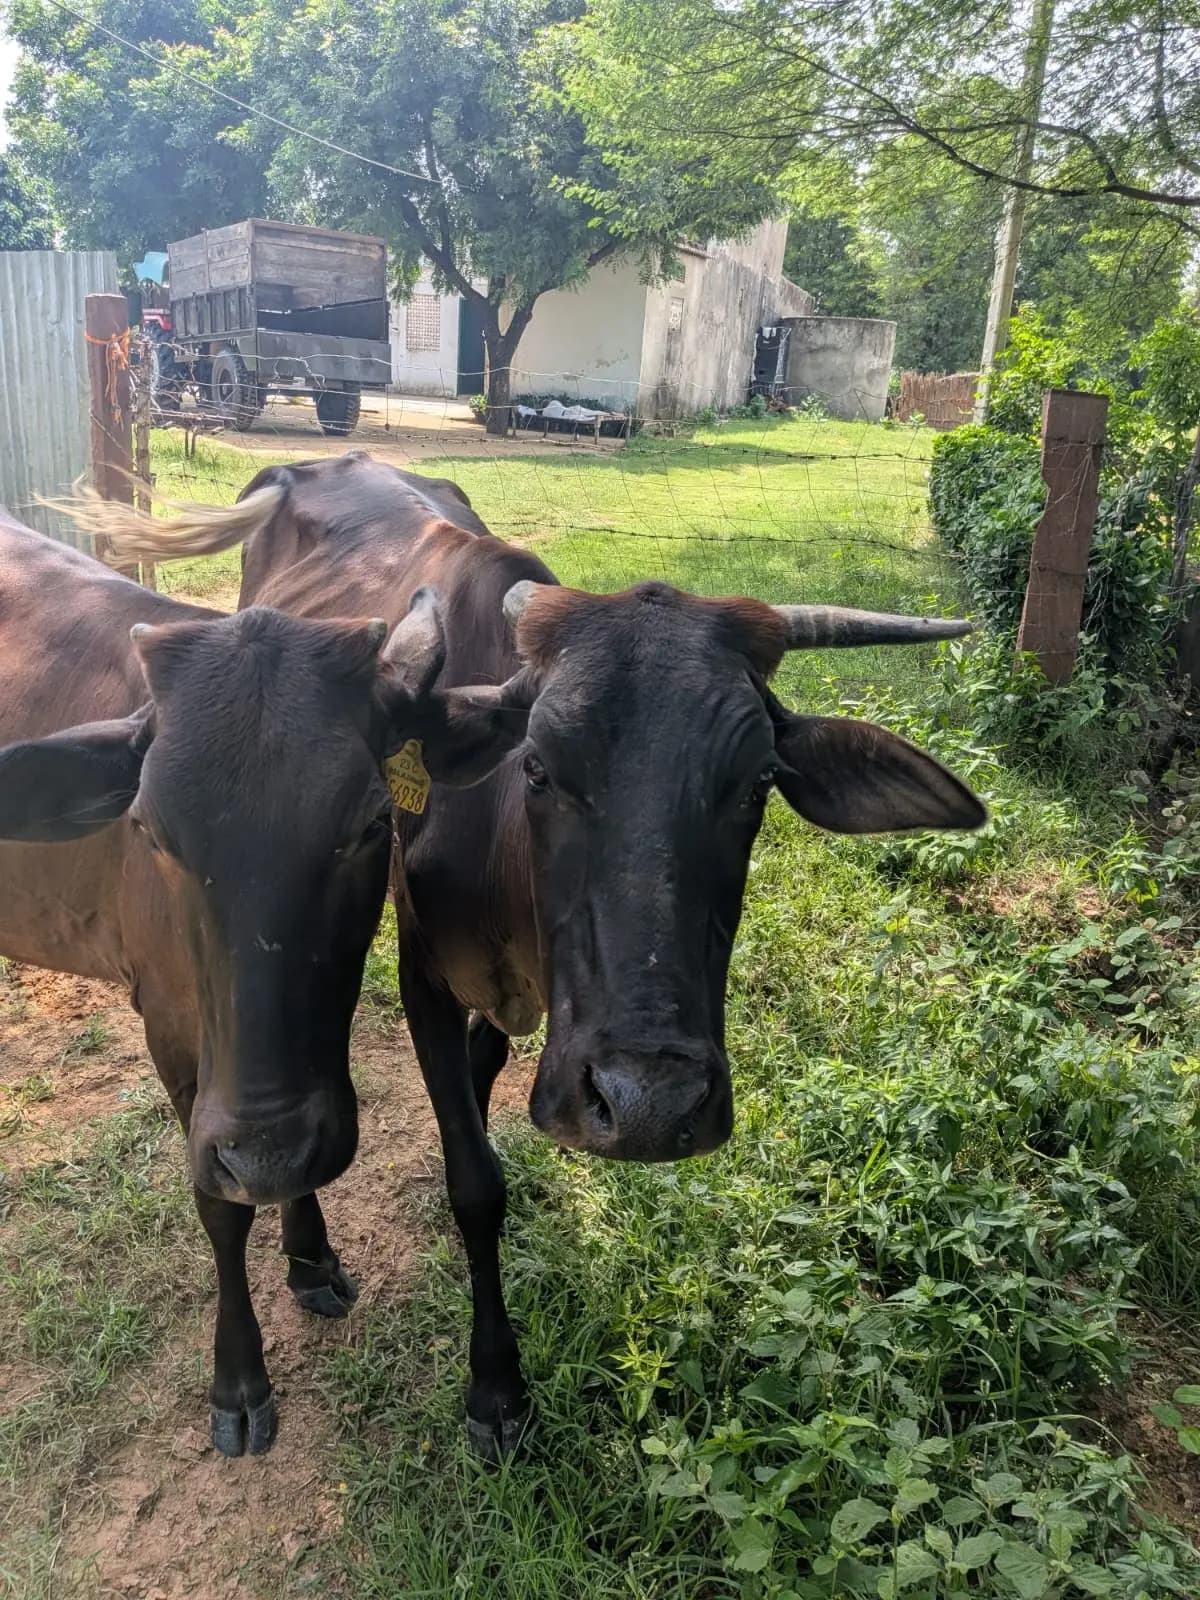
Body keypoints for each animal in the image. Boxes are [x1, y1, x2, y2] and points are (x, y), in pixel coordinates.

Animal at [0, 510, 527, 1454]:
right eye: (149, 830)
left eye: (372, 822)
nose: (268, 1148)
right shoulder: (174, 1029)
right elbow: (220, 1204)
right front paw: (238, 1377)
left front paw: (309, 1254)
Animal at [69, 451, 986, 1458]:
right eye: (540, 767)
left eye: (756, 786)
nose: (650, 1105)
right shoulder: (423, 976)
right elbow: (476, 1182)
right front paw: (497, 1386)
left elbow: (478, 1100)